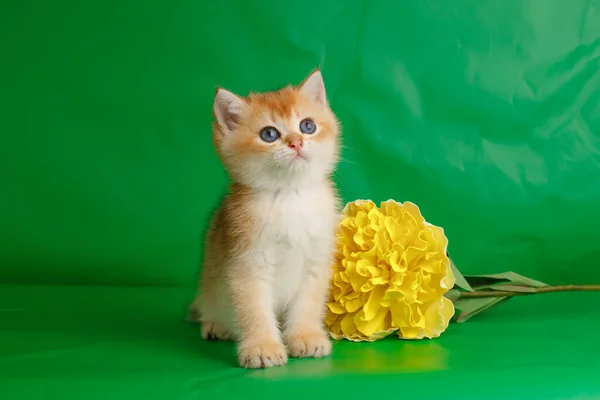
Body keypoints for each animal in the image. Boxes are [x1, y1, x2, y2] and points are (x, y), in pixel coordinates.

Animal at [190, 69, 342, 368]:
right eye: (269, 134)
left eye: (307, 126)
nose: (296, 142)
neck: (289, 198)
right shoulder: (246, 263)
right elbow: (254, 310)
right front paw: (262, 347)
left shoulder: (316, 261)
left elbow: (308, 304)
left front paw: (305, 336)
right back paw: (215, 324)